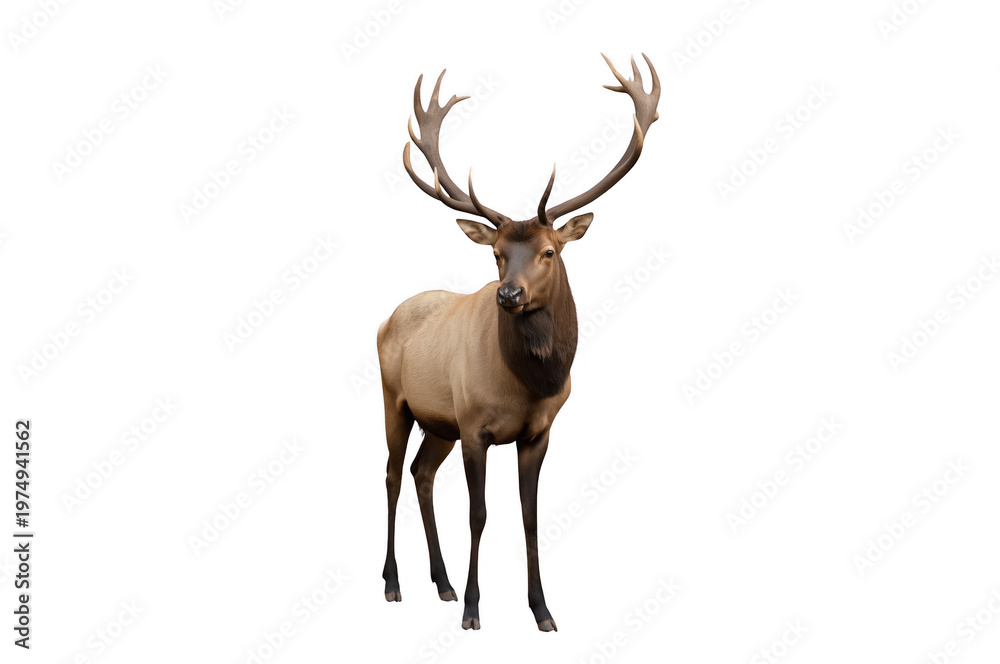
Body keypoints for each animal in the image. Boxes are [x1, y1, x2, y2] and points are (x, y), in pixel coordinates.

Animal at [377, 53, 660, 632]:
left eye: (550, 251)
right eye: (497, 254)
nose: (508, 294)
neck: (529, 384)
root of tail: (386, 319)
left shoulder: (538, 432)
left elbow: (530, 515)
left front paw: (542, 610)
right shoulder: (475, 426)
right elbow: (479, 514)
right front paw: (473, 609)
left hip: (438, 421)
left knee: (421, 473)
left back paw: (439, 582)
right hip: (395, 401)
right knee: (392, 473)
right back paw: (393, 583)